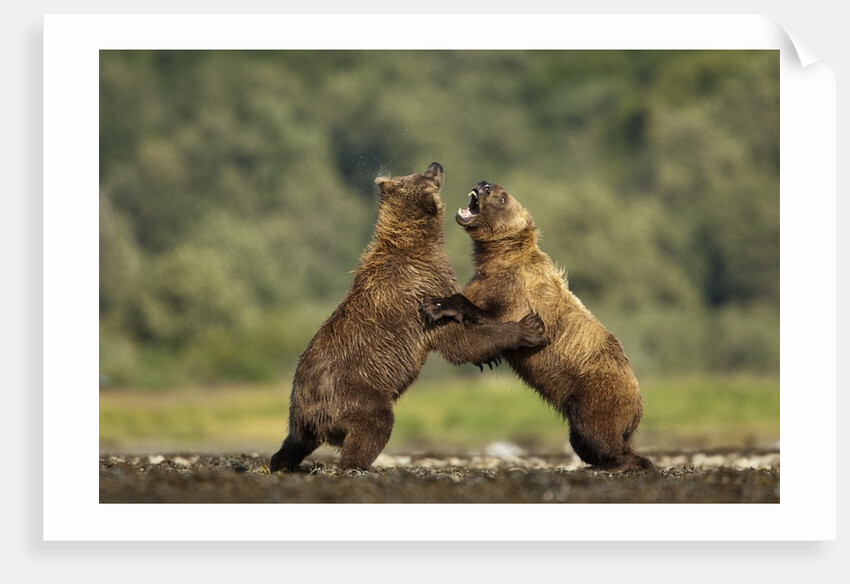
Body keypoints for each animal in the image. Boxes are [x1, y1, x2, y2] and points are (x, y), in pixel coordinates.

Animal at [269, 164, 549, 472]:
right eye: (425, 177)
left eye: (416, 172)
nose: (436, 164)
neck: (416, 242)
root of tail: (310, 414)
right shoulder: (424, 293)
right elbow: (456, 341)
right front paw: (526, 329)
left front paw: (489, 359)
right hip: (353, 394)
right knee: (374, 426)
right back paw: (357, 464)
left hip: (301, 414)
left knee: (293, 444)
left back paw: (281, 462)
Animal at [421, 180, 653, 472]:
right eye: (495, 189)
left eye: (503, 198)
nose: (484, 184)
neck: (499, 258)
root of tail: (639, 405)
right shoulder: (485, 281)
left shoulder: (519, 293)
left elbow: (496, 318)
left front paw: (436, 306)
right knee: (583, 439)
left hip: (597, 393)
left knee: (595, 433)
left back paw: (620, 462)